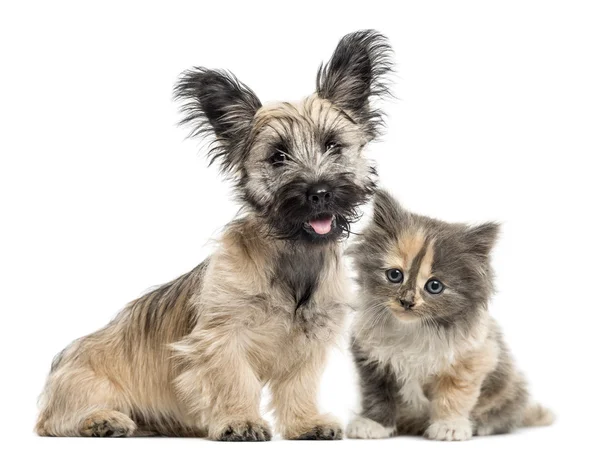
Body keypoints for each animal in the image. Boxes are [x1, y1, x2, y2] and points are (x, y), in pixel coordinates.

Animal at [36, 30, 394, 440]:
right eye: (278, 156)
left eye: (333, 145)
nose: (318, 192)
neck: (294, 256)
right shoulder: (222, 337)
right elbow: (233, 380)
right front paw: (240, 421)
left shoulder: (308, 342)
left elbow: (298, 386)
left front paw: (305, 422)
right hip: (88, 384)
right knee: (56, 420)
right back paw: (101, 420)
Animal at [344, 191, 556, 442]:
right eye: (394, 275)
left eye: (434, 286)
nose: (407, 302)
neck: (413, 328)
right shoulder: (371, 360)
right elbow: (377, 396)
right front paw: (373, 424)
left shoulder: (472, 359)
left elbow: (453, 396)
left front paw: (449, 426)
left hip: (510, 389)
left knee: (504, 416)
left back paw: (483, 426)